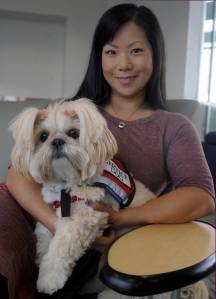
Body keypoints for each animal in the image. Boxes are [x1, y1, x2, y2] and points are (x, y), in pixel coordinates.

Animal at [8, 98, 209, 299]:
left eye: (74, 133)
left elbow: (62, 246)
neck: (66, 183)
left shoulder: (86, 216)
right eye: (43, 136)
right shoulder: (52, 215)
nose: (57, 141)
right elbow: (44, 240)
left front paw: (49, 278)